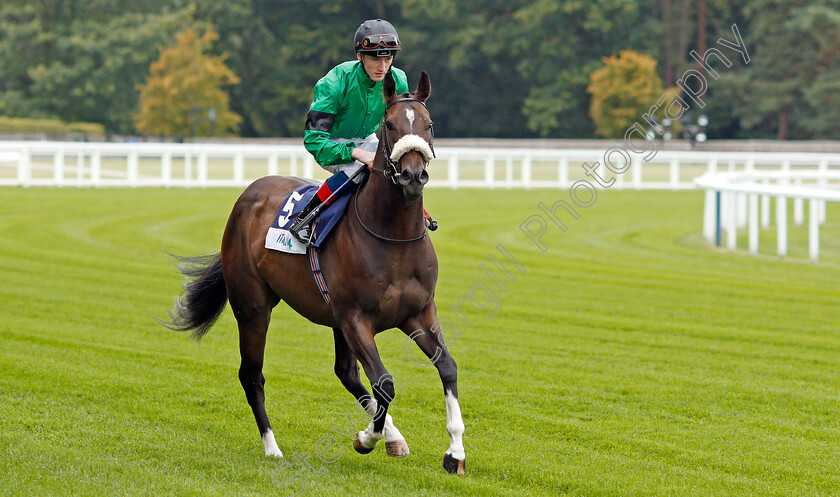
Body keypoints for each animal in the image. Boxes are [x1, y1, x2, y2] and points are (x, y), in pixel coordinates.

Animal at [162, 69, 466, 472]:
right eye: (388, 124)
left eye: (429, 124)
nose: (413, 175)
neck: (392, 237)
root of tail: (248, 194)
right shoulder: (355, 319)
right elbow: (384, 382)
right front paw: (367, 438)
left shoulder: (417, 313)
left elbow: (446, 366)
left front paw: (455, 452)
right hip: (253, 306)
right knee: (252, 374)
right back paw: (272, 446)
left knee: (346, 372)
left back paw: (393, 437)